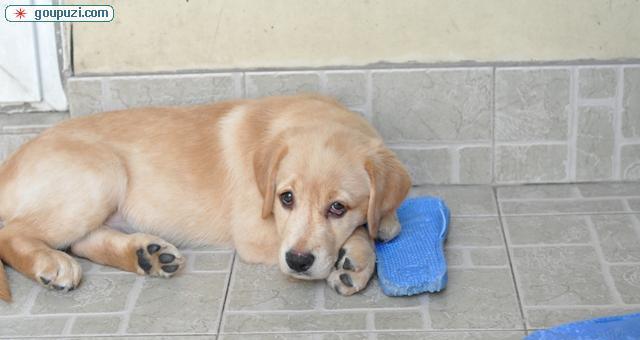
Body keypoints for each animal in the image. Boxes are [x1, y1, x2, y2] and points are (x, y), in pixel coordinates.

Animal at [0, 94, 410, 302]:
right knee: (13, 235)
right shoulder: (255, 231)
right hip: (100, 174)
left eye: (338, 207)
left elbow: (371, 221)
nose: (297, 262)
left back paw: (146, 255)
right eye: (286, 198)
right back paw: (51, 265)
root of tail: (9, 163)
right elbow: (360, 232)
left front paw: (381, 225)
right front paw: (359, 258)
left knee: (83, 241)